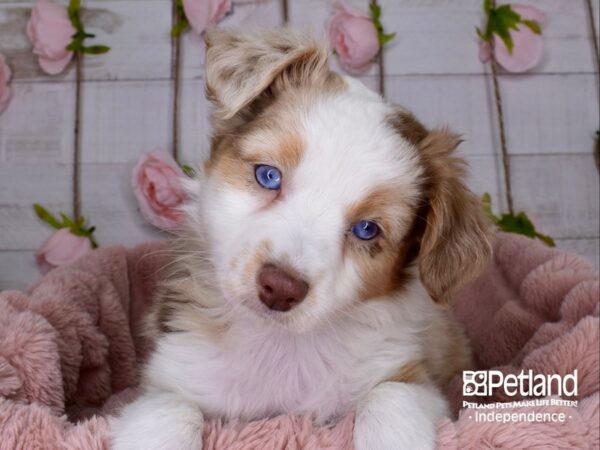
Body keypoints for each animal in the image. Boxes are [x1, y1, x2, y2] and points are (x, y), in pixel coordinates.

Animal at [110, 29, 490, 450]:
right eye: (269, 176)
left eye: (367, 229)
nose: (279, 288)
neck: (280, 346)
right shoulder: (168, 374)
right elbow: (170, 409)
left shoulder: (412, 377)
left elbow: (389, 396)